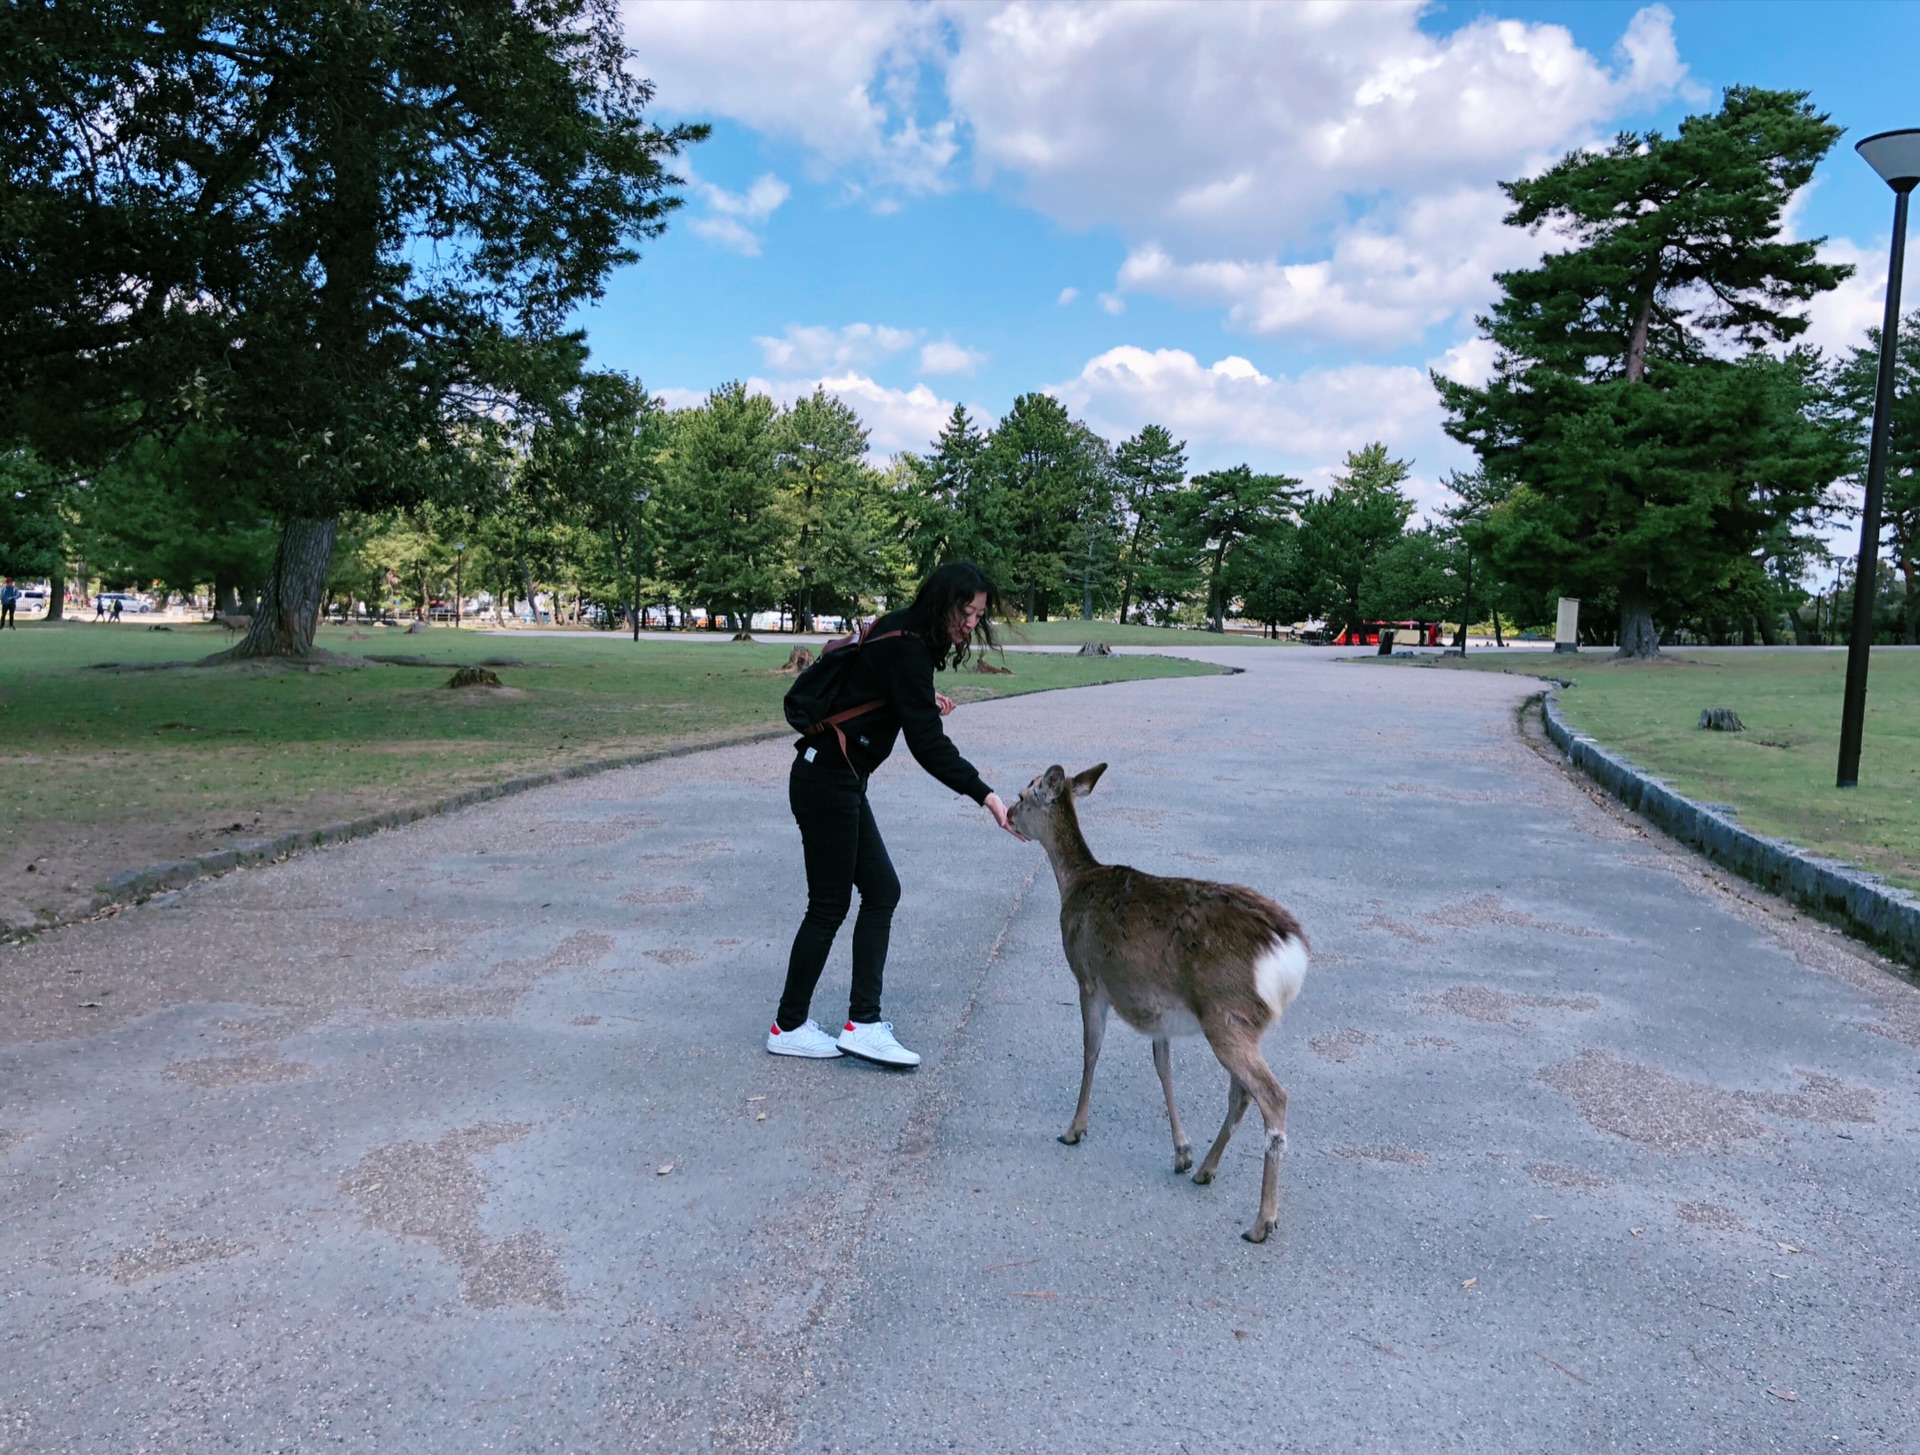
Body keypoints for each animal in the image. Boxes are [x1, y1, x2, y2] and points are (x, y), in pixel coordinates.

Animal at [1006, 763, 1305, 1243]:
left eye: (1022, 794)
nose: (1008, 814)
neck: (1073, 884)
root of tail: (1291, 953)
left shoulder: (1088, 978)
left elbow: (1091, 1051)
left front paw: (1074, 1129)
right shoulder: (1159, 1007)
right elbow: (1162, 1066)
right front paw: (1182, 1151)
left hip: (1224, 1012)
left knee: (1272, 1095)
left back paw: (1261, 1222)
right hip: (1241, 1022)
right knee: (1242, 1093)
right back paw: (1206, 1170)